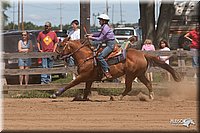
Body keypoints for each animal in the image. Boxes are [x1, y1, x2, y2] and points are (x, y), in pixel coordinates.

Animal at [50, 38, 182, 101]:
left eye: (61, 45)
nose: (54, 57)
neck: (86, 57)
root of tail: (143, 54)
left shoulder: (82, 77)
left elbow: (69, 84)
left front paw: (55, 94)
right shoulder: (89, 79)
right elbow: (86, 90)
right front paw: (83, 99)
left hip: (130, 75)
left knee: (128, 87)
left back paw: (118, 97)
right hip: (139, 74)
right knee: (148, 83)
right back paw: (150, 97)